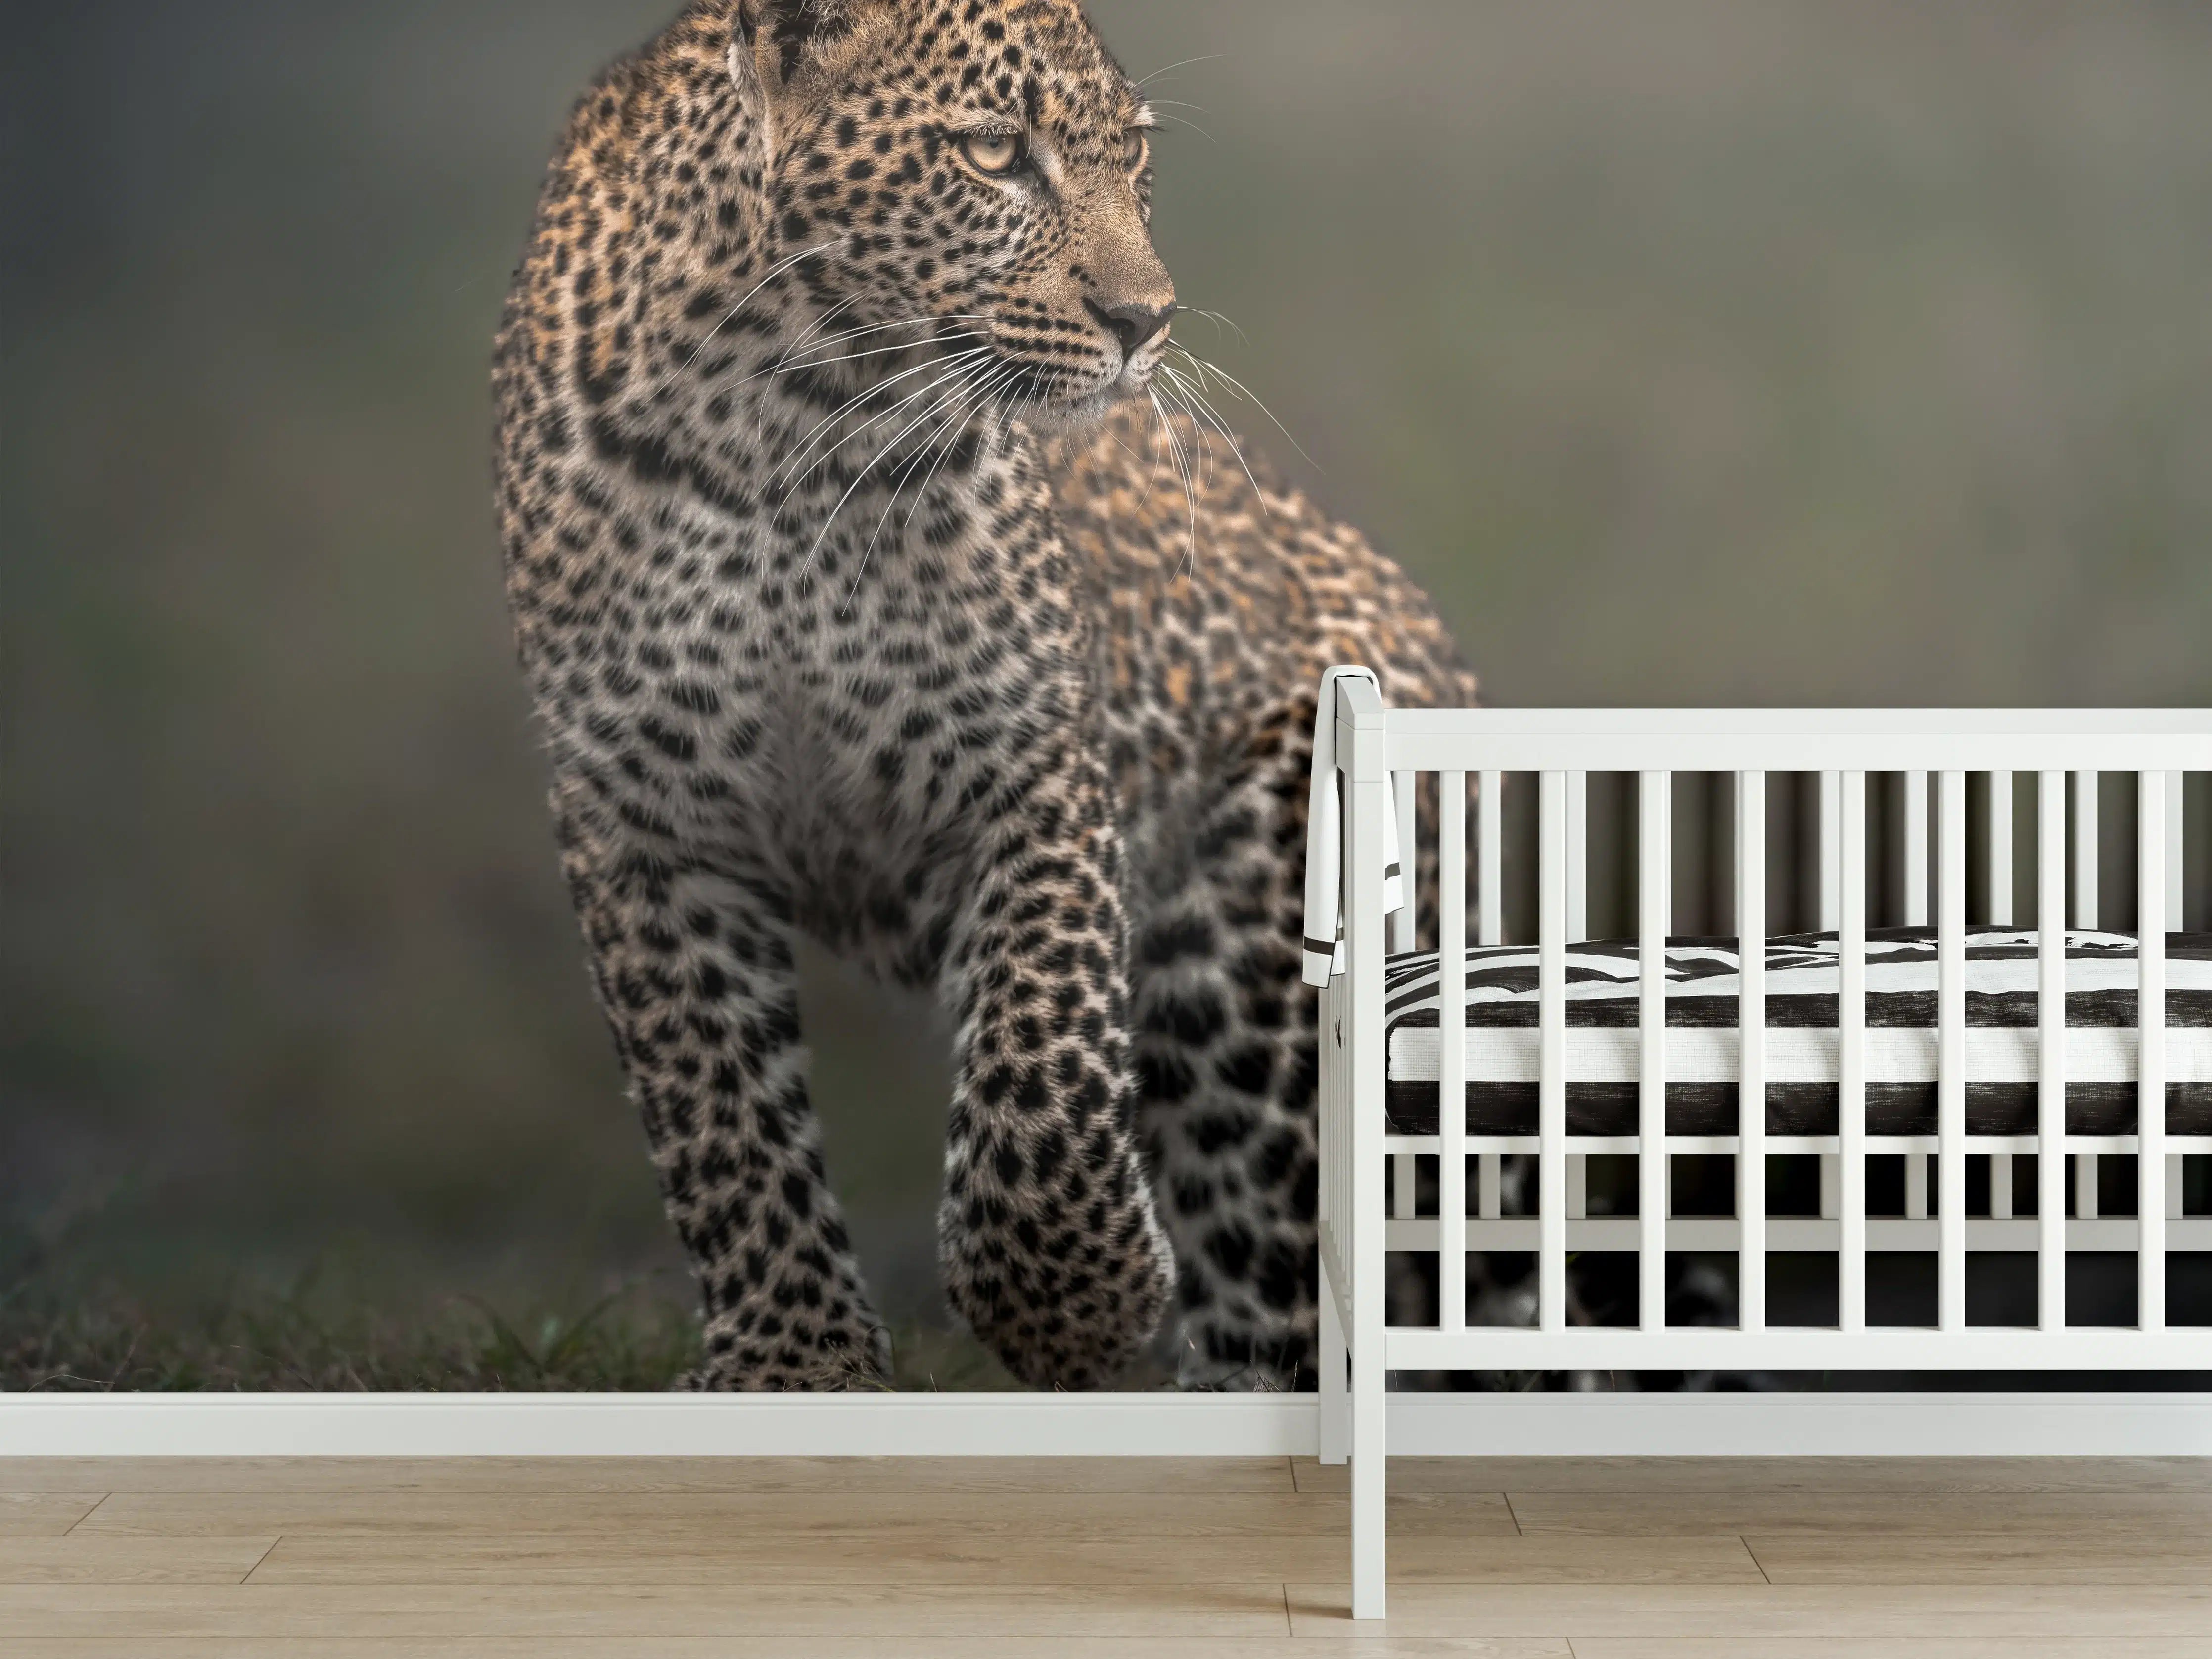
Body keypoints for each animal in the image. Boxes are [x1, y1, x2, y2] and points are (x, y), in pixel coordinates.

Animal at [491, 0, 1477, 1393]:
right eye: (994, 154)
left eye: (1131, 155)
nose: (1146, 321)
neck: (780, 428)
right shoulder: (640, 816)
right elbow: (717, 1114)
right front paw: (792, 1366)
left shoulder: (1028, 764)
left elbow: (1041, 1054)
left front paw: (1079, 1301)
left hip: (1256, 960)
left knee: (1281, 1284)